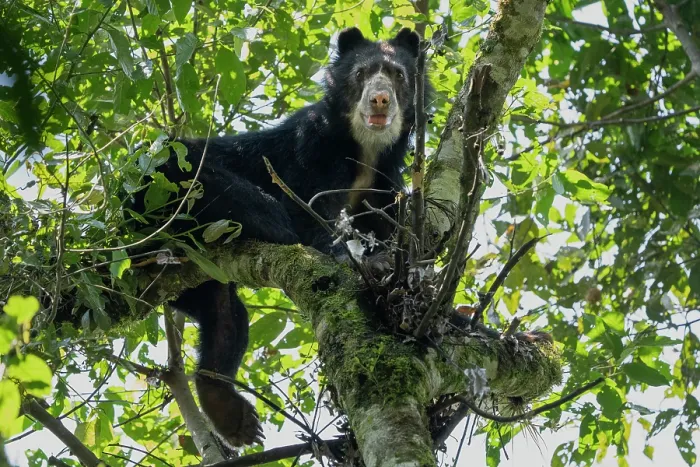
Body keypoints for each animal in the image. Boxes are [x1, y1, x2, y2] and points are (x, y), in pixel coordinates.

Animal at [138, 27, 423, 448]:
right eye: (361, 74)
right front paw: (363, 261)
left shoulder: (385, 179)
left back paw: (228, 410)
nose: (380, 98)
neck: (364, 149)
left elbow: (386, 226)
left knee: (226, 317)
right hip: (164, 187)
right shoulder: (311, 150)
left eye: (398, 75)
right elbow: (311, 214)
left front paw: (390, 260)